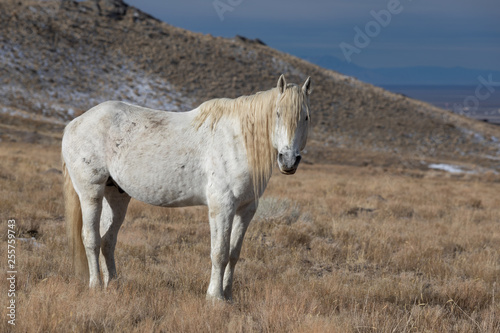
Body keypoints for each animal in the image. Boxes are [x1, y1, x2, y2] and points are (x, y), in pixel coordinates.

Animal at [62, 74, 312, 300]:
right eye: (278, 114)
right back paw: (95, 286)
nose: (289, 160)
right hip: (91, 192)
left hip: (116, 195)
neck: (237, 140)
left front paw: (229, 296)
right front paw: (215, 298)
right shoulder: (222, 206)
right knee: (91, 238)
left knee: (108, 240)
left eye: (306, 117)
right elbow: (219, 253)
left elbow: (233, 254)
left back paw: (113, 285)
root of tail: (74, 124)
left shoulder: (246, 209)